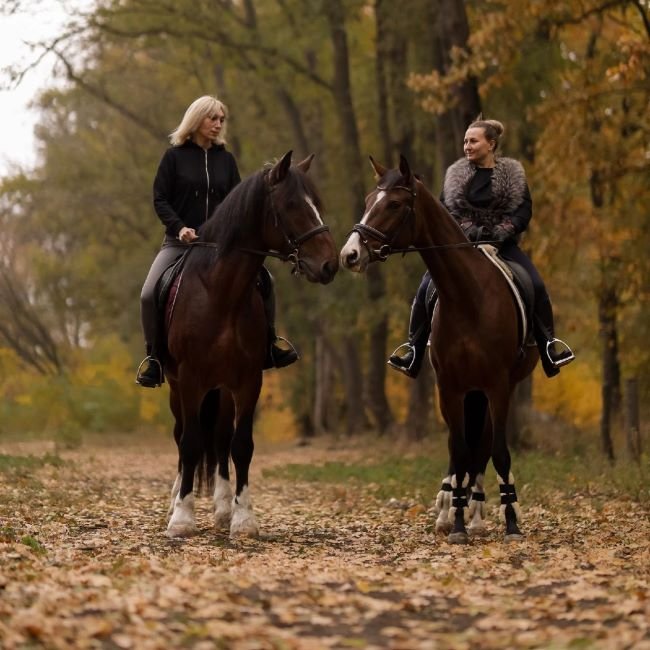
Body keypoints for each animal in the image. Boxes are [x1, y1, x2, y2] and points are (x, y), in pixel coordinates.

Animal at [165, 151, 336, 536]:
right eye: (291, 205)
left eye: (317, 204)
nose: (330, 265)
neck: (220, 292)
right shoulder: (189, 378)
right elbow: (190, 443)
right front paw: (182, 517)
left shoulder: (248, 380)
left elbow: (240, 444)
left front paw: (242, 519)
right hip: (175, 385)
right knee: (183, 435)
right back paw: (176, 498)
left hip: (223, 390)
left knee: (220, 439)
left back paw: (221, 507)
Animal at [340, 156, 536, 540]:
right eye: (369, 200)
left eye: (394, 204)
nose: (350, 255)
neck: (467, 297)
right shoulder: (449, 387)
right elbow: (458, 451)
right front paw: (456, 521)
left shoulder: (498, 385)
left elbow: (497, 451)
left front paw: (510, 521)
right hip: (466, 392)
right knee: (461, 449)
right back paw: (452, 510)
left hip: (492, 389)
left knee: (483, 446)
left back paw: (479, 513)